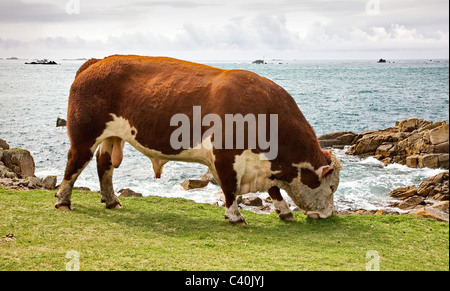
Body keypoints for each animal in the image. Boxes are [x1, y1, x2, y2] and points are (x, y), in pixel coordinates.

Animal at [54, 55, 342, 226]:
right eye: (331, 188)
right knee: (74, 164)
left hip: (112, 136)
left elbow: (274, 190)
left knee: (104, 165)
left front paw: (285, 211)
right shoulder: (226, 155)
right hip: (84, 135)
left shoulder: (264, 163)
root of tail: (97, 61)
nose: (329, 215)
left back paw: (112, 200)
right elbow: (230, 188)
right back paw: (63, 202)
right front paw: (235, 216)